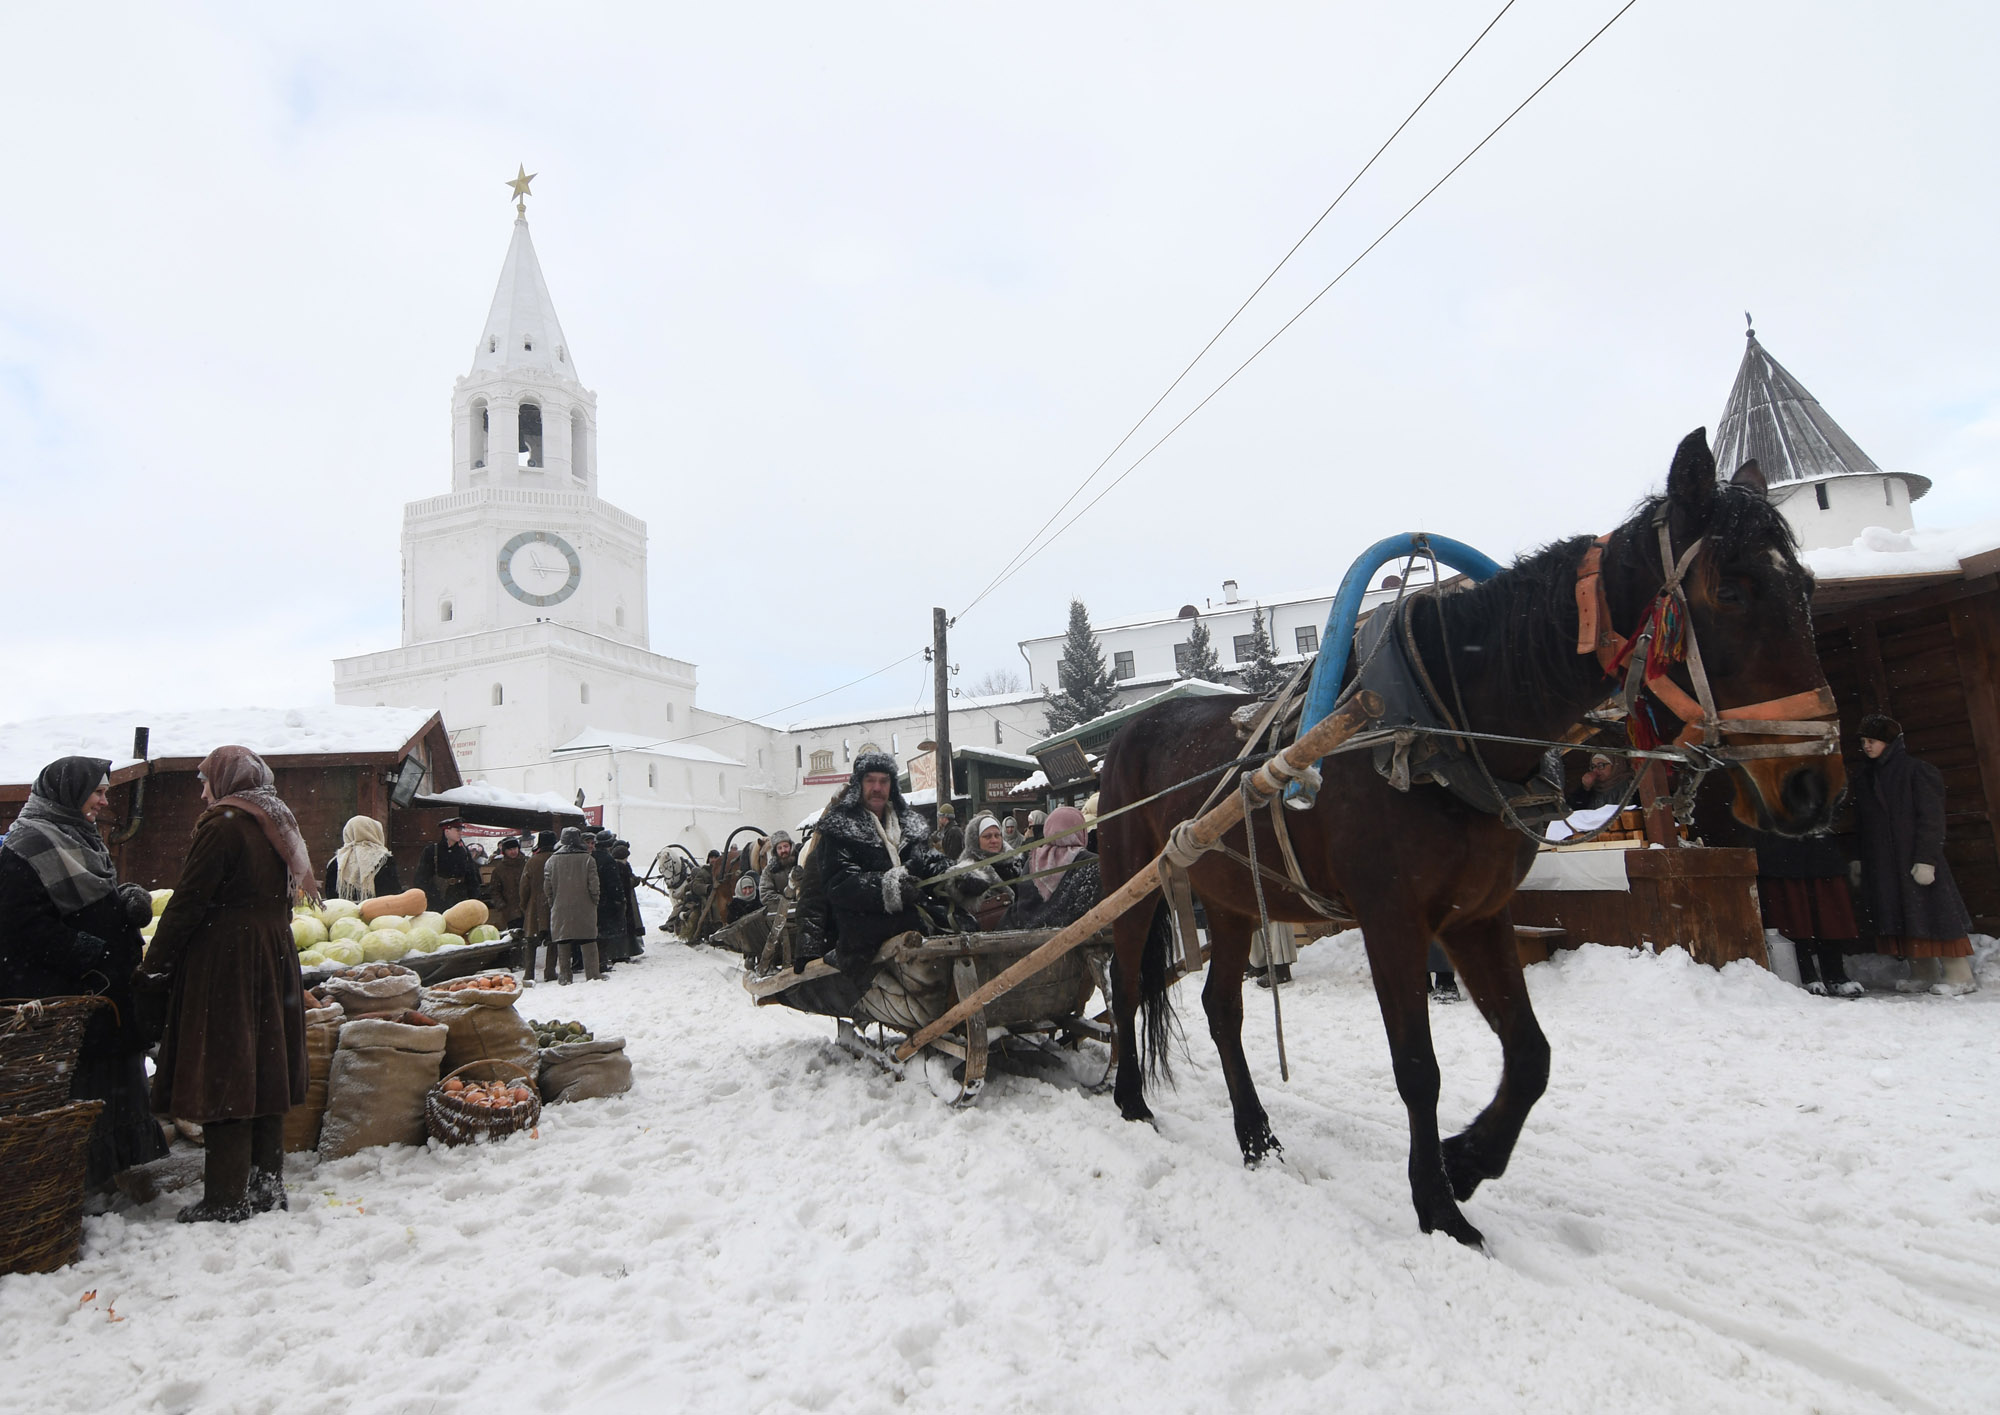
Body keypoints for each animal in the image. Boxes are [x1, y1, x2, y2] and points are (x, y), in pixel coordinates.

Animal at [1096, 431, 1840, 1247]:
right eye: (1732, 591)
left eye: (1806, 589)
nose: (1814, 784)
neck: (1437, 719)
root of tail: (1126, 734)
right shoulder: (1393, 919)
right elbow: (1418, 1067)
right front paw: (1438, 1205)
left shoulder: (1477, 916)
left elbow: (1531, 1054)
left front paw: (1468, 1160)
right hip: (1131, 881)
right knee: (1127, 983)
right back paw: (1131, 1100)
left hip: (1231, 901)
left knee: (1221, 1009)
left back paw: (1256, 1135)